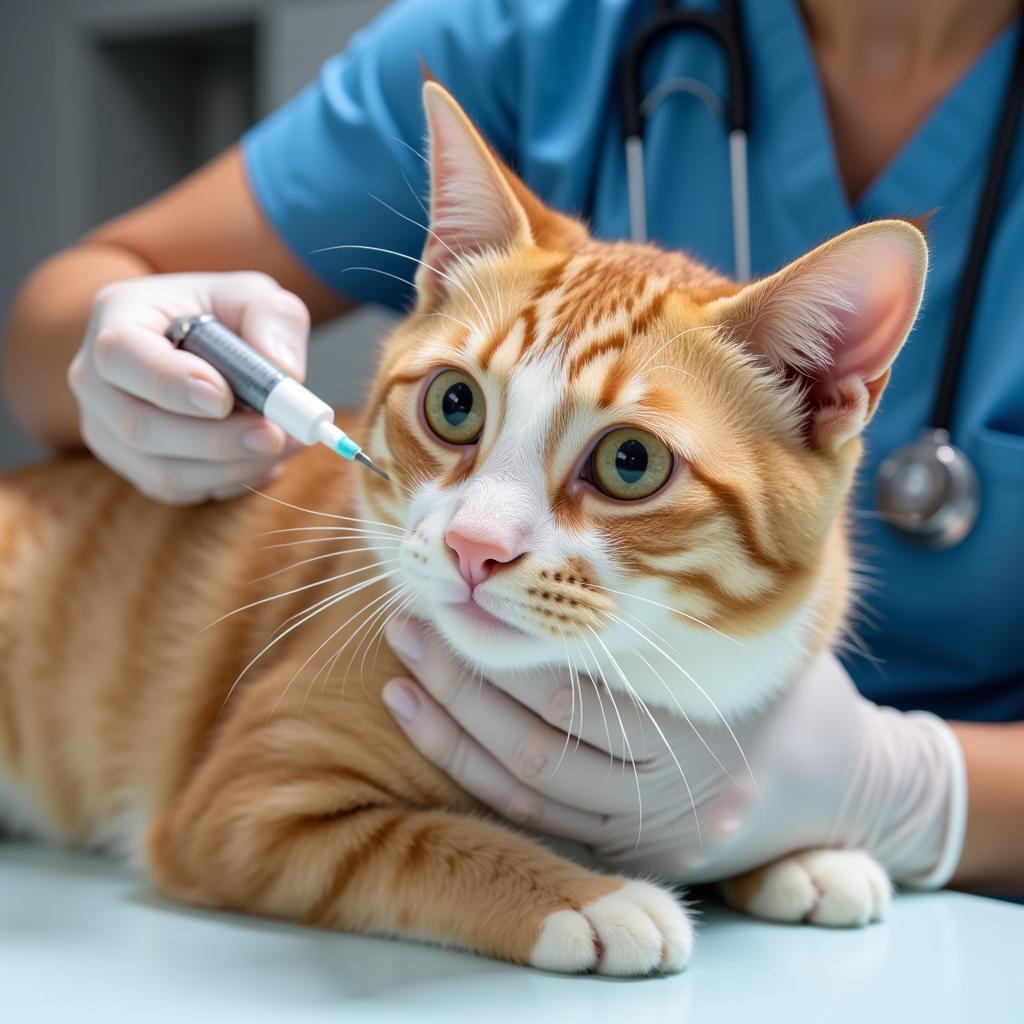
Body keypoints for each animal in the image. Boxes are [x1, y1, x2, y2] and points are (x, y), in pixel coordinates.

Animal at [0, 81, 929, 974]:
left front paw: (802, 853)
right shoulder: (238, 805)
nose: (475, 548)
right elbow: (419, 841)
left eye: (631, 463)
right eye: (455, 404)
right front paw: (590, 899)